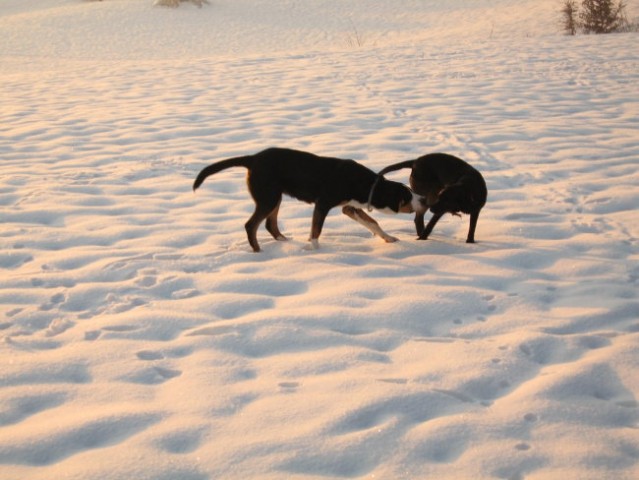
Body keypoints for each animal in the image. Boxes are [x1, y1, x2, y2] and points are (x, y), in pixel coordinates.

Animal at [192, 146, 428, 251]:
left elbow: (373, 223)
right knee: (251, 225)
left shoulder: (350, 207)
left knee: (269, 223)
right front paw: (314, 248)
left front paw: (388, 237)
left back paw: (282, 240)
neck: (365, 185)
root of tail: (252, 158)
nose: (424, 199)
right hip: (269, 197)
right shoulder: (323, 204)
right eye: (407, 196)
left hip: (275, 197)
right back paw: (258, 251)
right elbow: (316, 229)